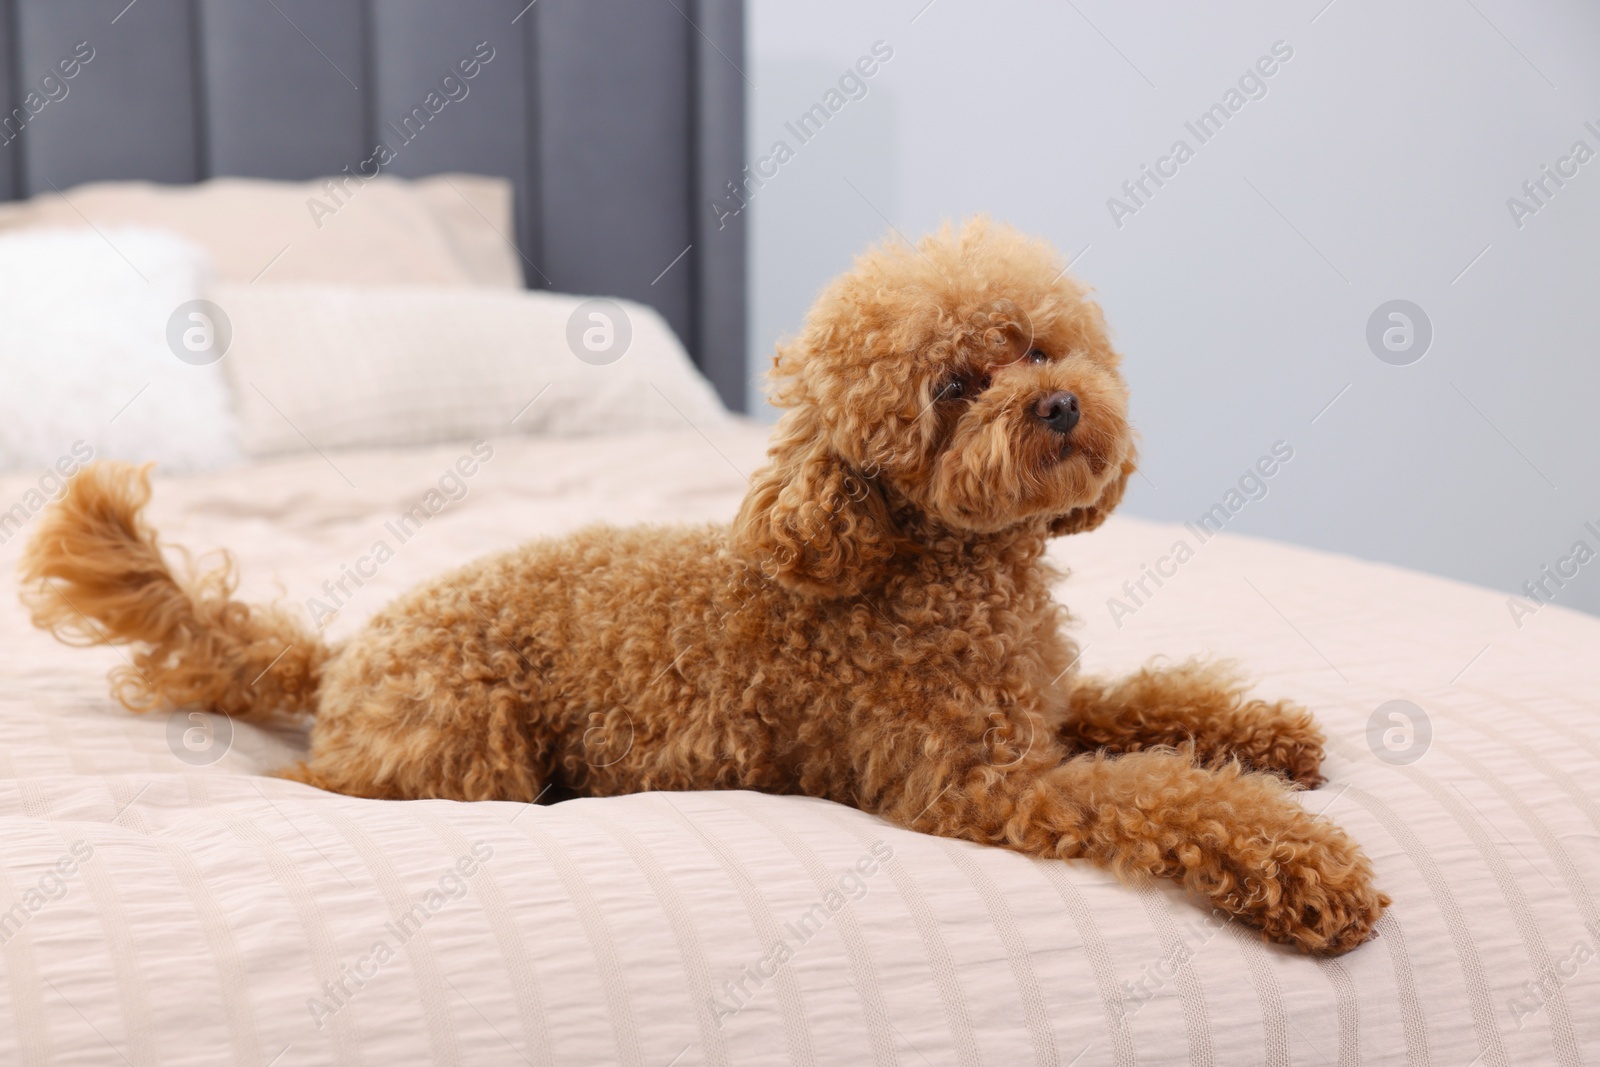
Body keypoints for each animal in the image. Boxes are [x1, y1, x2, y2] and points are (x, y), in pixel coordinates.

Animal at [18, 214, 1382, 953]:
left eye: (1043, 345)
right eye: (951, 386)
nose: (1057, 405)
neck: (932, 563)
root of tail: (344, 651)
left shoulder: (1038, 710)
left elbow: (1149, 706)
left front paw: (1270, 732)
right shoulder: (978, 784)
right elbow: (1161, 795)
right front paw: (1311, 866)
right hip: (463, 747)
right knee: (339, 785)